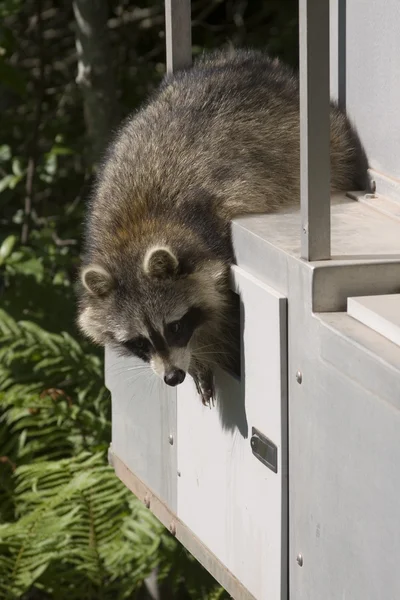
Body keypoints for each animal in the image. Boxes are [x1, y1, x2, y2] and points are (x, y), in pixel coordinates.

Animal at [77, 47, 368, 404]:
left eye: (175, 327)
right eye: (140, 341)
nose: (172, 377)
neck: (136, 230)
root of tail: (237, 58)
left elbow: (223, 313)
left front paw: (209, 352)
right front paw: (199, 361)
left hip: (328, 144)